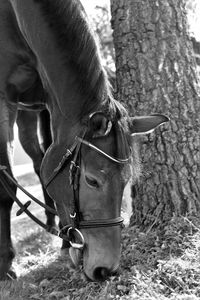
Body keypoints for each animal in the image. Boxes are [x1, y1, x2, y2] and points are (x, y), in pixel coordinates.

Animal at [0, 0, 169, 282]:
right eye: (92, 180)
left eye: (127, 181)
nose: (105, 269)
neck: (15, 16)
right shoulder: (3, 101)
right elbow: (6, 187)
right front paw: (6, 263)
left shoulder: (53, 102)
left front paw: (64, 241)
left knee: (40, 162)